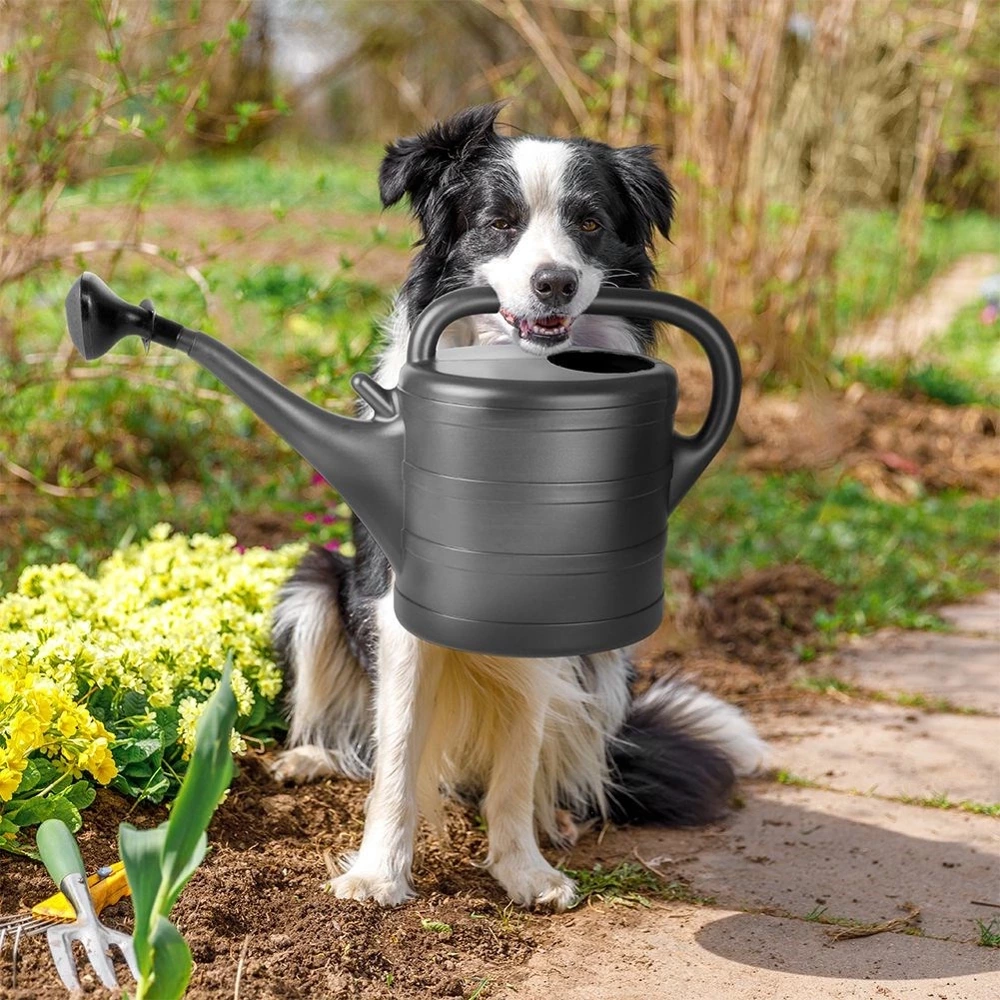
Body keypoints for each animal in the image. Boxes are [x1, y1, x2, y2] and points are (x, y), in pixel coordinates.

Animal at [268, 105, 764, 912]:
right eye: (499, 223)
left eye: (589, 221)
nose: (554, 283)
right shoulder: (395, 610)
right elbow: (398, 755)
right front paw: (378, 874)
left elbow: (519, 758)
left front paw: (523, 870)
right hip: (313, 589)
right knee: (364, 742)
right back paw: (311, 758)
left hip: (606, 663)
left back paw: (553, 818)